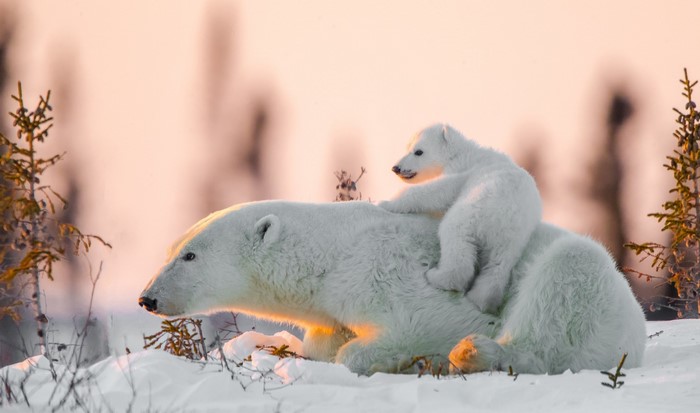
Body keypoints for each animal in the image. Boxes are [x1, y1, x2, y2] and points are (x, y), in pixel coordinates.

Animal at [139, 200, 646, 376]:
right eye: (171, 248)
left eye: (190, 256)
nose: (147, 297)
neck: (332, 252)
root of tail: (638, 335)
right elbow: (325, 339)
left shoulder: (387, 271)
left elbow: (420, 323)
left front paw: (392, 358)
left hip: (587, 288)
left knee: (560, 292)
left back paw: (475, 353)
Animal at [379, 124, 542, 313]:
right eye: (408, 147)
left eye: (418, 151)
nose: (396, 168)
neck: (461, 152)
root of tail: (506, 217)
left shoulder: (463, 170)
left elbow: (437, 191)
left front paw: (386, 203)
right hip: (513, 240)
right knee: (497, 266)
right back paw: (481, 299)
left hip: (472, 210)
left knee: (455, 239)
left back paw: (437, 276)